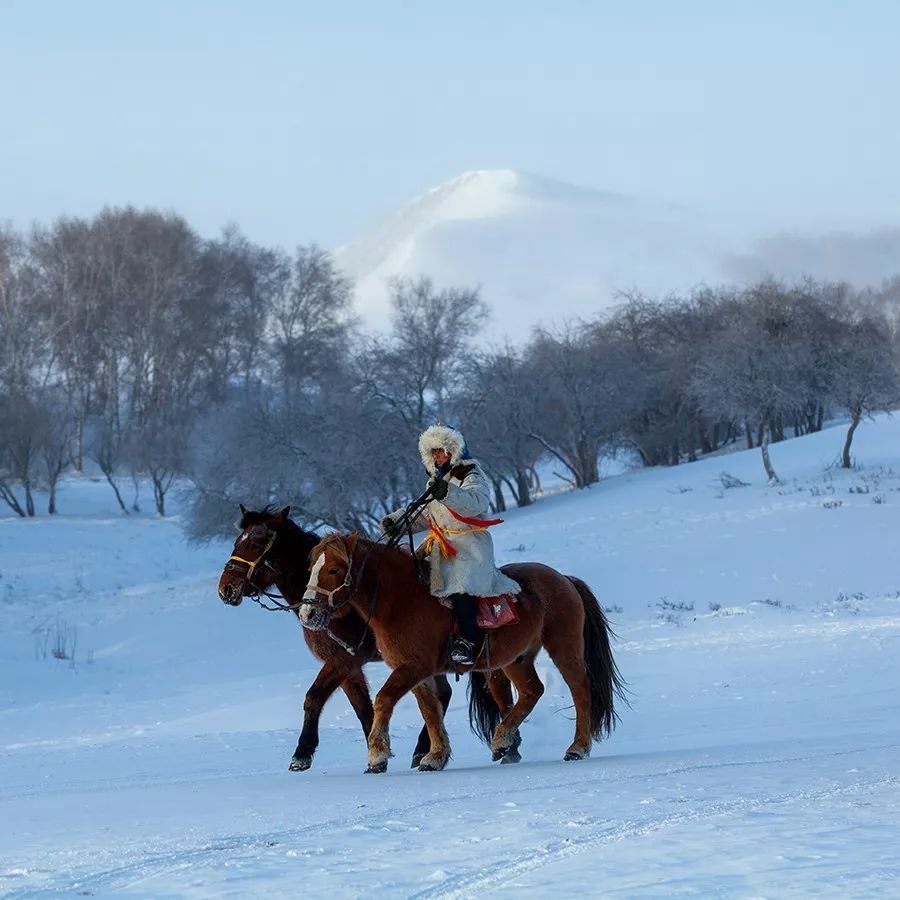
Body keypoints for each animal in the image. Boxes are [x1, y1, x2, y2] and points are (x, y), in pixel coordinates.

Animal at [216, 505, 453, 771]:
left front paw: (302, 753)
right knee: (442, 693)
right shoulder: (350, 667)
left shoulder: (343, 660)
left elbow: (314, 697)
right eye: (237, 542)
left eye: (255, 544)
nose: (226, 589)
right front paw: (376, 757)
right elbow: (363, 709)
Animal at [300, 532, 626, 774]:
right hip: (515, 658)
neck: (402, 600)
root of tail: (564, 579)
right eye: (310, 569)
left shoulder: (412, 667)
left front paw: (377, 756)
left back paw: (576, 747)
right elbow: (430, 712)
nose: (307, 613)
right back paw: (502, 741)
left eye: (333, 569)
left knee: (580, 689)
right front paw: (435, 756)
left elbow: (384, 700)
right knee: (532, 691)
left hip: (563, 646)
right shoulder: (418, 673)